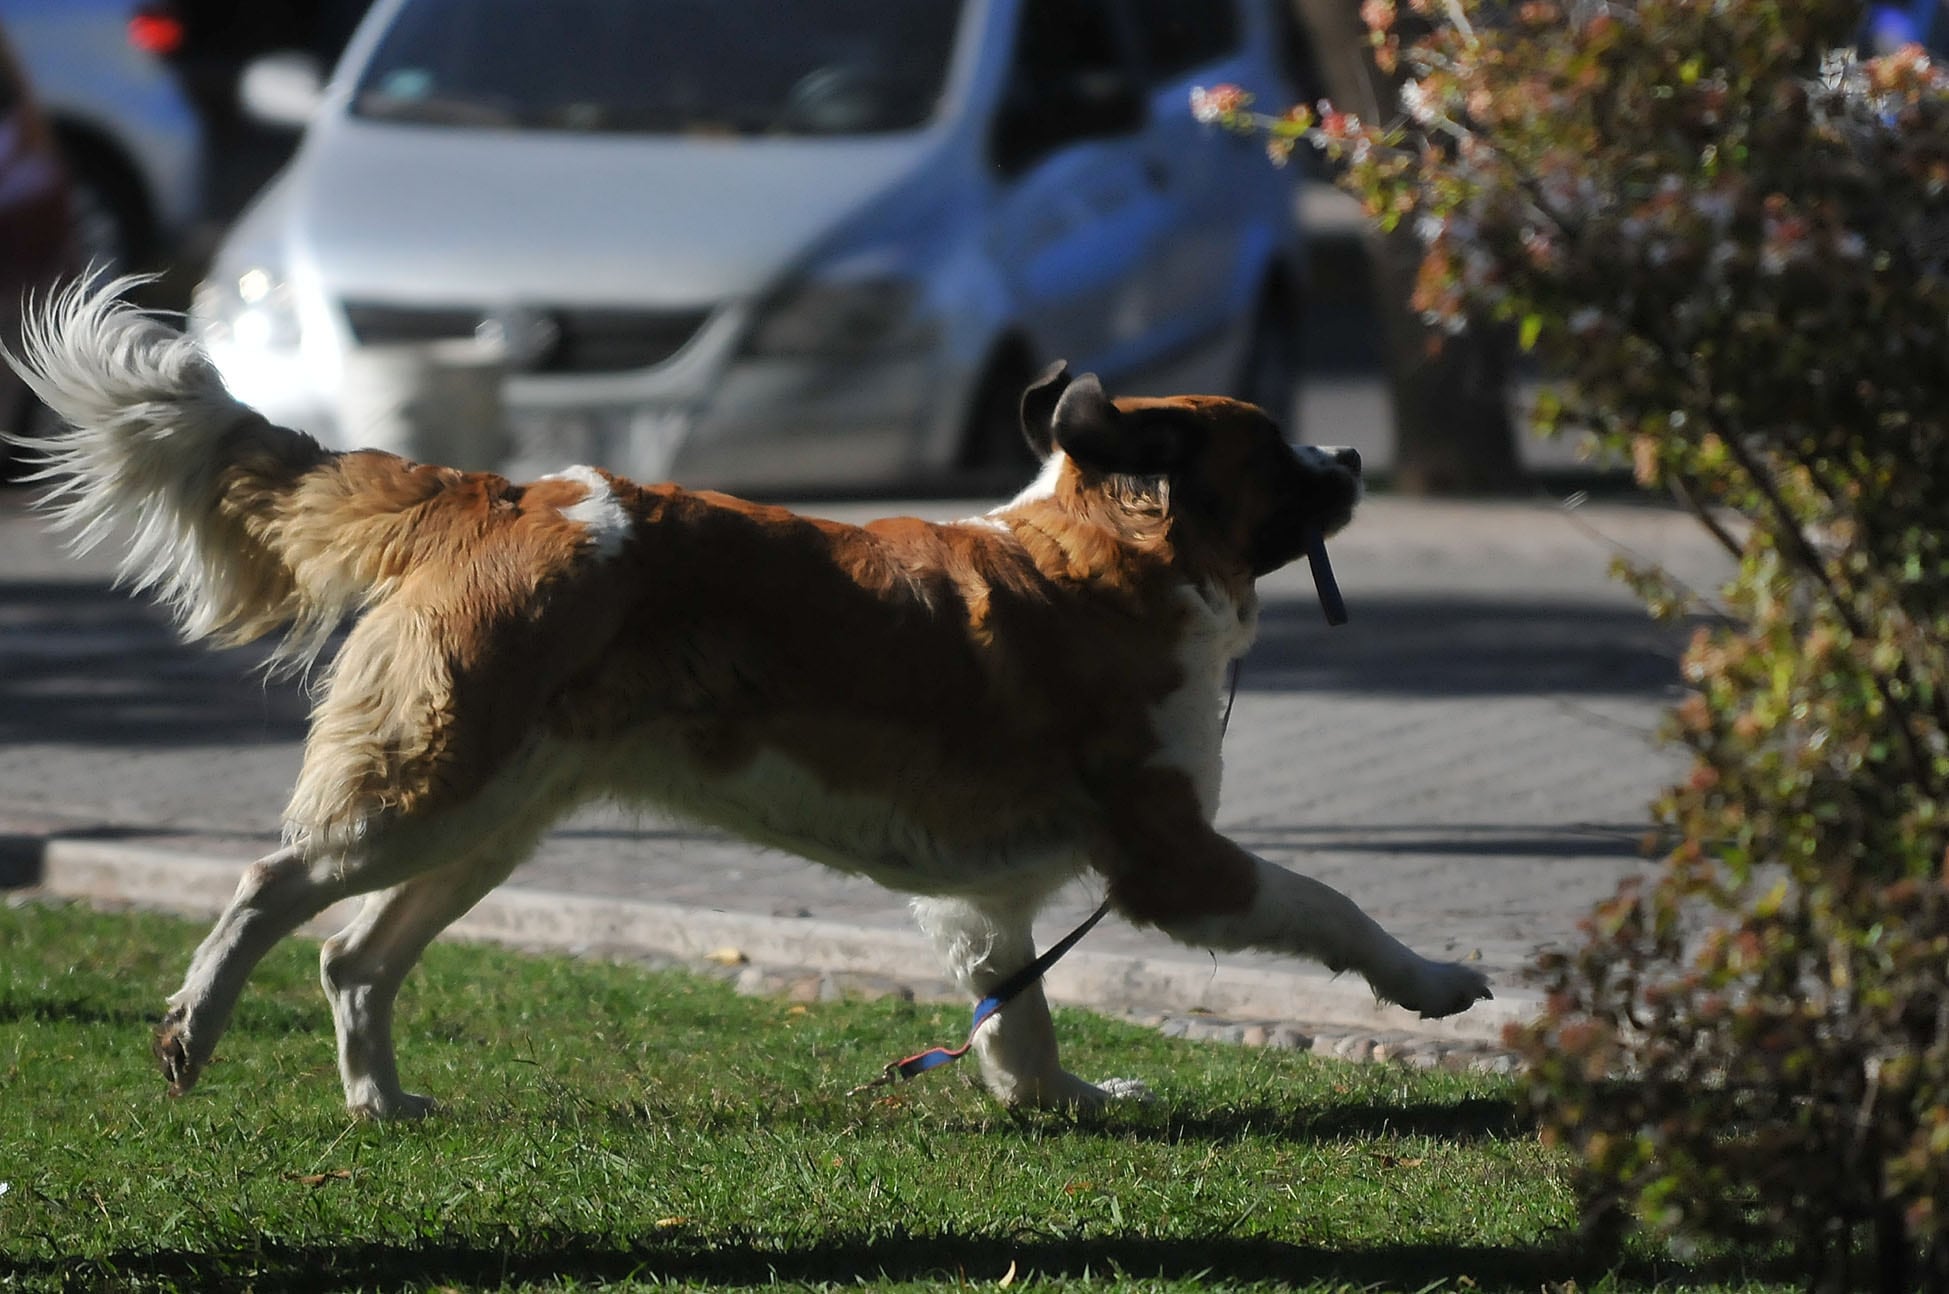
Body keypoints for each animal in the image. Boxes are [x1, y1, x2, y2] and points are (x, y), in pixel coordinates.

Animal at [3, 278, 1489, 1114]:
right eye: (1277, 449)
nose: (1354, 453)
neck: (1109, 558)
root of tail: (500, 492)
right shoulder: (1175, 857)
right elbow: (1331, 902)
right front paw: (1431, 980)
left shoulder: (986, 899)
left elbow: (1018, 1018)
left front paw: (1059, 1099)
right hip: (425, 791)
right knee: (268, 886)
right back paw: (193, 1031)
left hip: (494, 819)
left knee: (354, 955)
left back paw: (382, 1103)